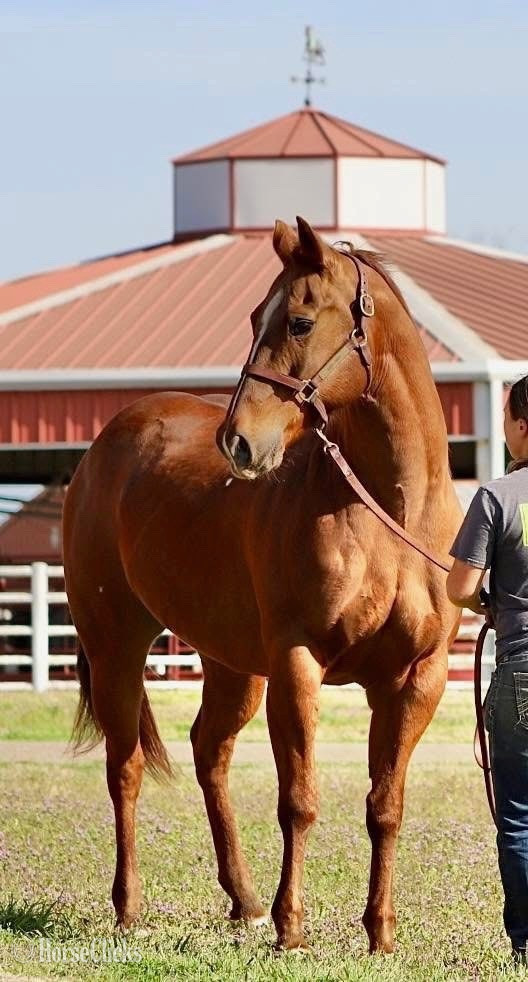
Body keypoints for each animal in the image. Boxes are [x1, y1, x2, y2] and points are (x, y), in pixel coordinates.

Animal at [63, 216, 462, 954]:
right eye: (255, 317)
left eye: (300, 322)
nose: (238, 443)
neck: (389, 514)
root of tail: (105, 445)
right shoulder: (298, 662)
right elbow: (299, 801)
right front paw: (290, 928)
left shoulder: (414, 678)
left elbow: (385, 805)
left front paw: (380, 933)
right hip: (117, 648)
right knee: (125, 768)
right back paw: (130, 909)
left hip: (231, 663)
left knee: (208, 751)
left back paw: (242, 899)